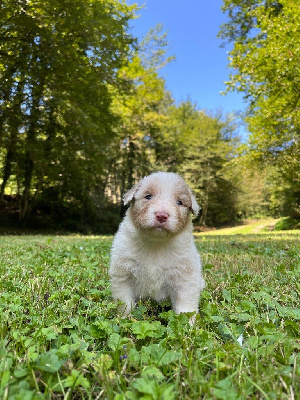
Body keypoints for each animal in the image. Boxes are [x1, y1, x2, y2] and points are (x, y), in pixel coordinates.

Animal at [109, 172, 205, 318]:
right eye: (148, 196)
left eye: (179, 202)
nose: (162, 215)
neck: (156, 243)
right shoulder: (123, 275)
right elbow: (125, 303)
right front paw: (125, 318)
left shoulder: (185, 279)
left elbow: (185, 308)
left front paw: (188, 324)